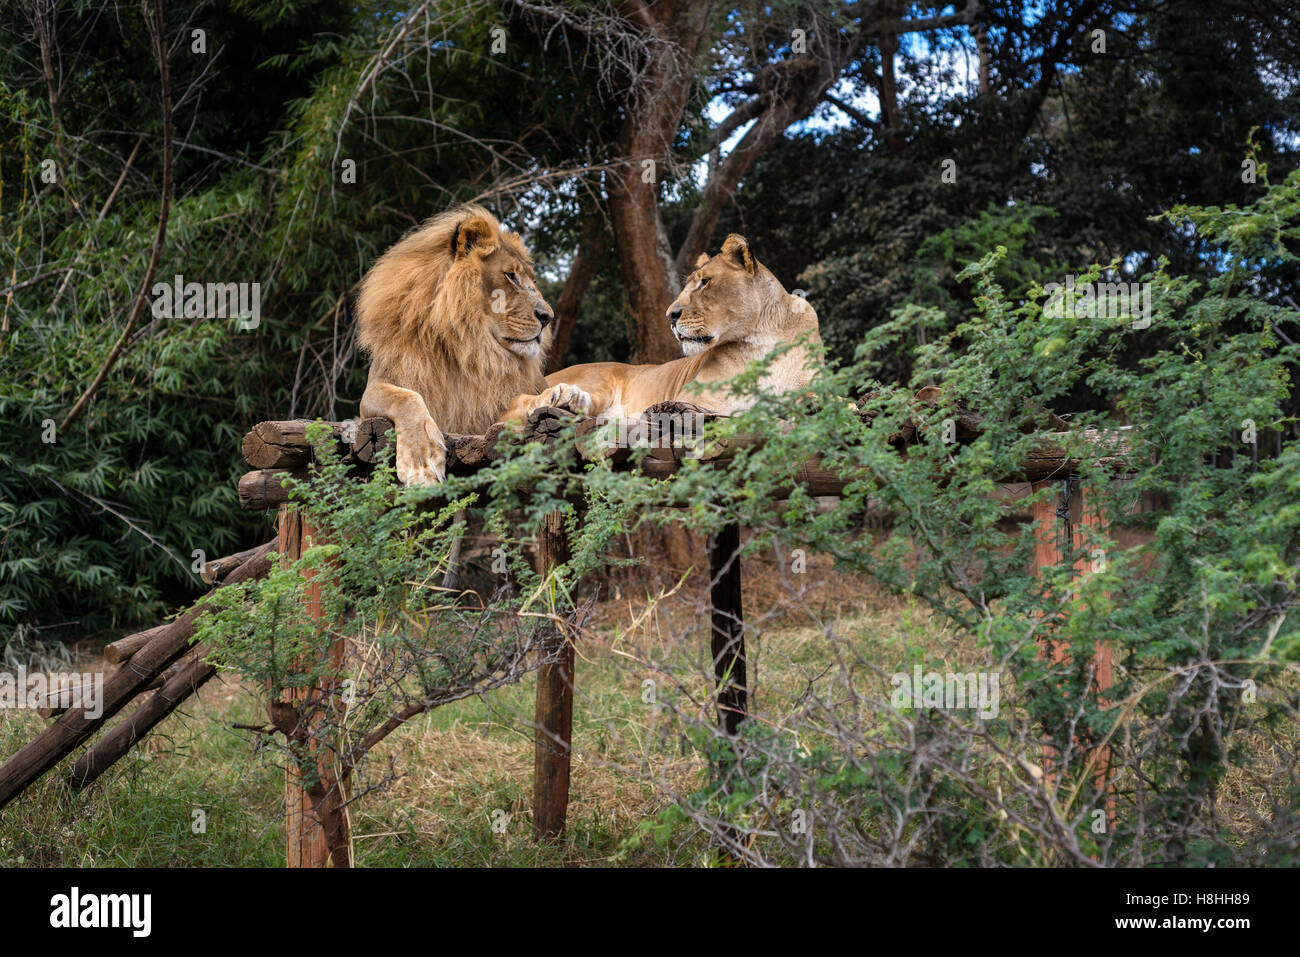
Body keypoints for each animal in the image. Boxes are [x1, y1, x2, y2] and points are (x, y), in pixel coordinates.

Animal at [356, 204, 590, 484]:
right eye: (511, 276)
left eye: (531, 280)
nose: (548, 317)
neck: (468, 345)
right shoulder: (373, 391)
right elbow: (407, 398)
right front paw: (421, 464)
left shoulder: (482, 417)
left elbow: (520, 400)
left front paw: (562, 396)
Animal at [502, 234, 822, 423]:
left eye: (705, 282)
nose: (671, 315)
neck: (760, 336)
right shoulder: (692, 400)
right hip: (598, 378)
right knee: (513, 405)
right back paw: (562, 397)